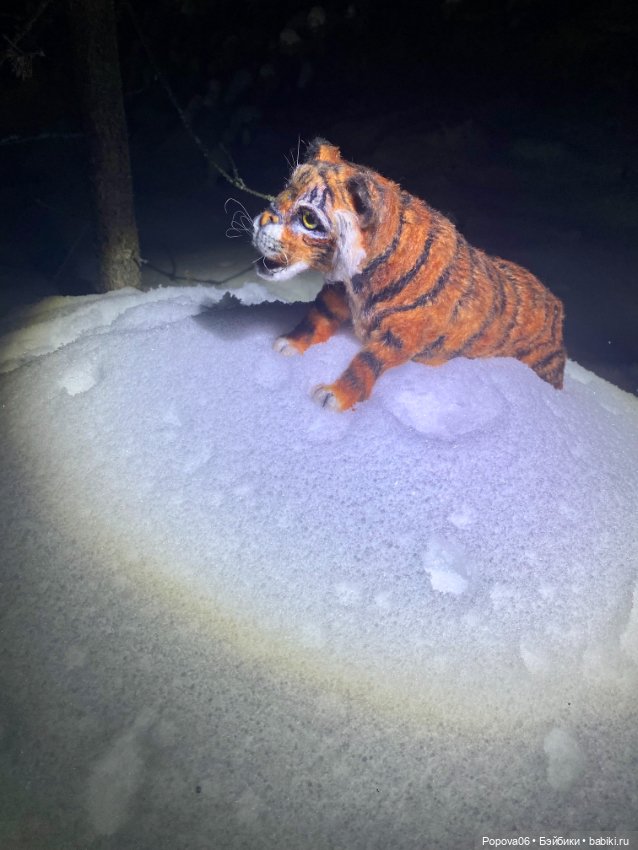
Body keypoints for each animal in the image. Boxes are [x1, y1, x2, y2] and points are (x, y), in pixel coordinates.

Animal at [252, 138, 566, 411]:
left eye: (309, 219)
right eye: (285, 191)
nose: (259, 223)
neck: (357, 280)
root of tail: (556, 304)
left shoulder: (402, 336)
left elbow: (365, 362)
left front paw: (334, 396)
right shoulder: (336, 295)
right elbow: (314, 320)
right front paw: (288, 344)